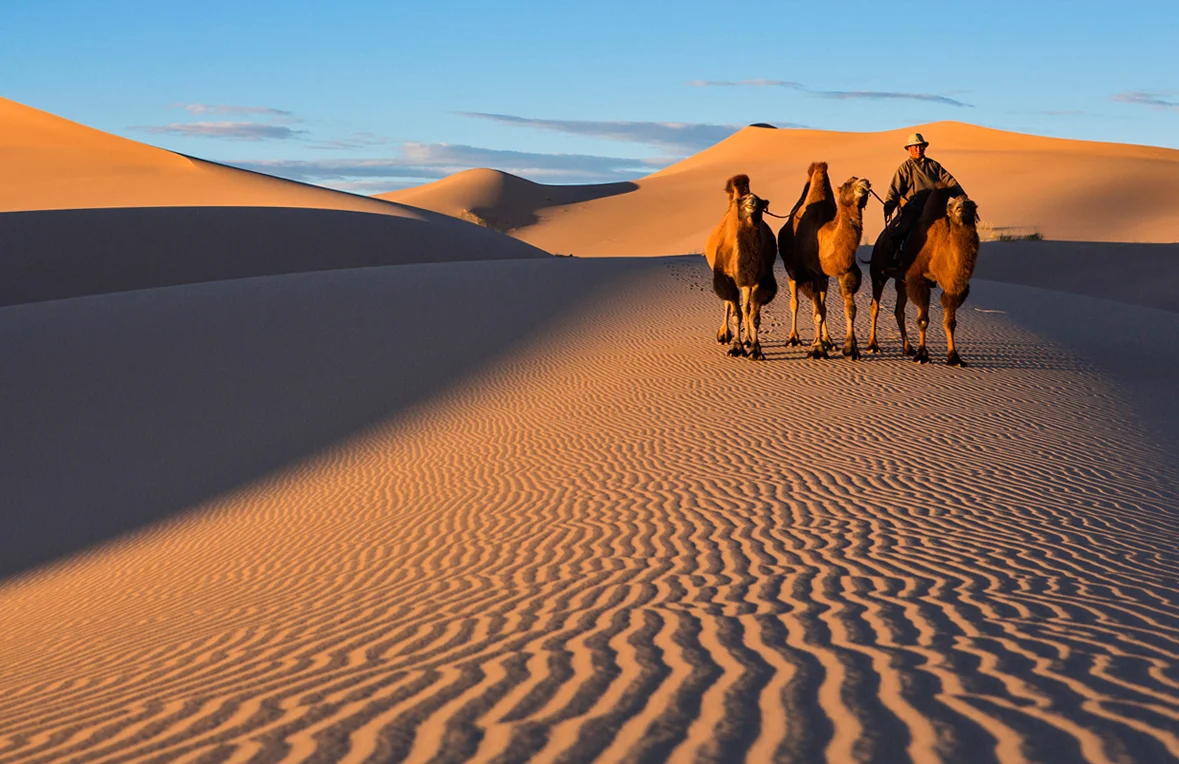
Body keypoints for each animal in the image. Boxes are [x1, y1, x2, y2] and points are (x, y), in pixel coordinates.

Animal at [702, 174, 778, 360]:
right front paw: (736, 347)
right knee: (728, 304)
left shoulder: (761, 279)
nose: (751, 202)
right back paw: (724, 335)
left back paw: (747, 340)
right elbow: (736, 313)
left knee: (746, 308)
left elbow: (754, 315)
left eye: (759, 200)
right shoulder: (724, 276)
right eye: (744, 200)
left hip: (747, 283)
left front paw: (755, 349)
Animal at [778, 162, 872, 360]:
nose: (865, 183)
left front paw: (850, 348)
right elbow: (817, 313)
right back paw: (794, 338)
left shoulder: (844, 272)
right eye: (847, 184)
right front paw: (817, 349)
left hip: (824, 279)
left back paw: (829, 341)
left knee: (823, 304)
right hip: (792, 271)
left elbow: (849, 309)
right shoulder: (812, 274)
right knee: (795, 303)